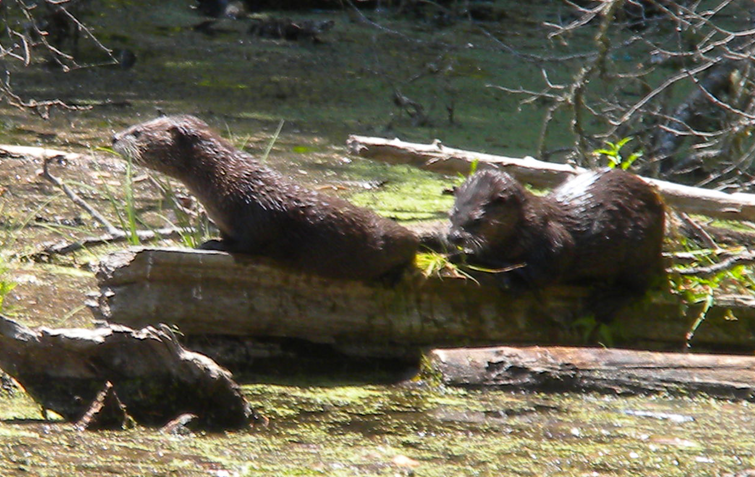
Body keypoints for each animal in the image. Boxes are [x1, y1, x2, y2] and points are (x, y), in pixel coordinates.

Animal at [112, 115, 420, 278]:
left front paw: (215, 245)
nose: (114, 137)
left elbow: (250, 243)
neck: (225, 180)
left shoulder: (258, 215)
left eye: (137, 132)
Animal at [448, 167, 668, 294]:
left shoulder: (554, 243)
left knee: (639, 286)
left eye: (477, 219)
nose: (453, 236)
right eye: (452, 214)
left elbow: (541, 272)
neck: (527, 227)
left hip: (641, 247)